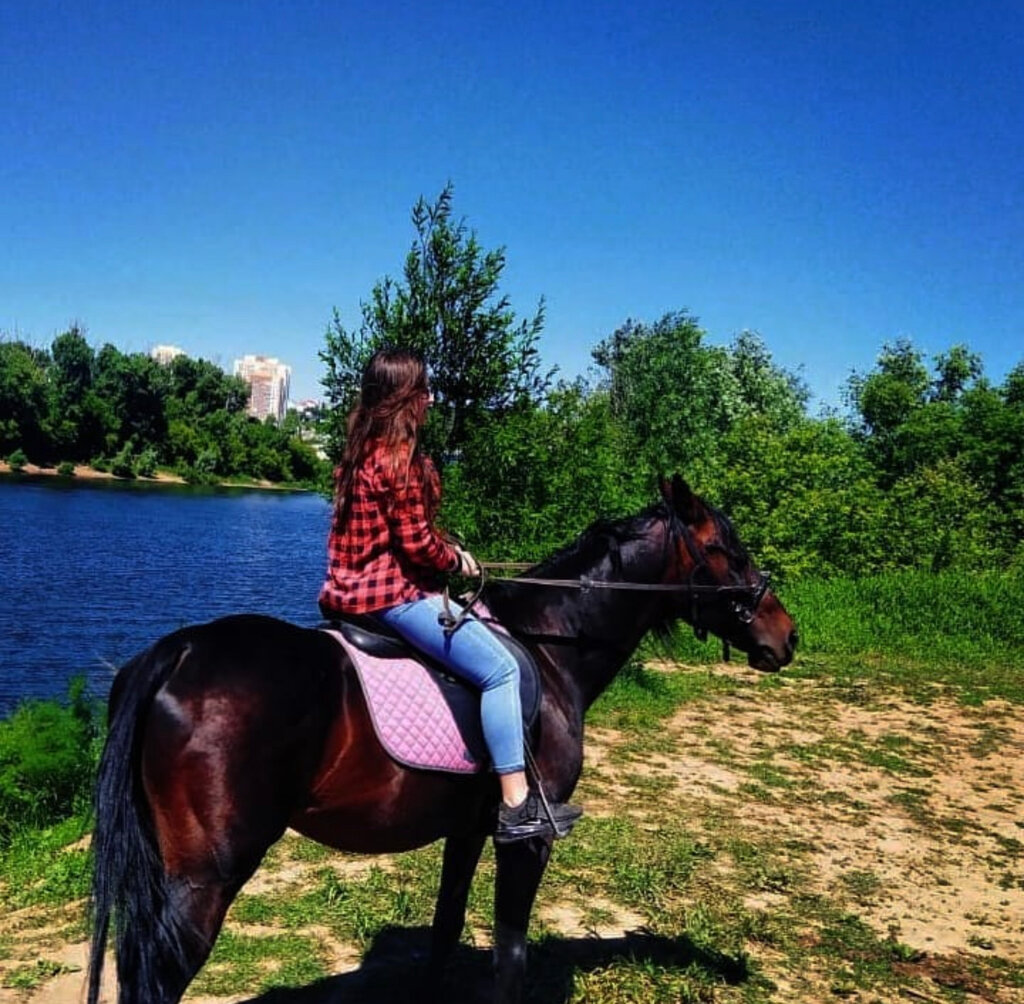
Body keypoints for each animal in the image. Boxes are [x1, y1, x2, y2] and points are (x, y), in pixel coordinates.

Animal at [88, 475, 794, 999]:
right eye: (729, 552)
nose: (785, 636)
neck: (550, 647)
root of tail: (178, 653)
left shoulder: (468, 830)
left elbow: (445, 928)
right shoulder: (527, 840)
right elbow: (510, 955)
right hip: (206, 880)